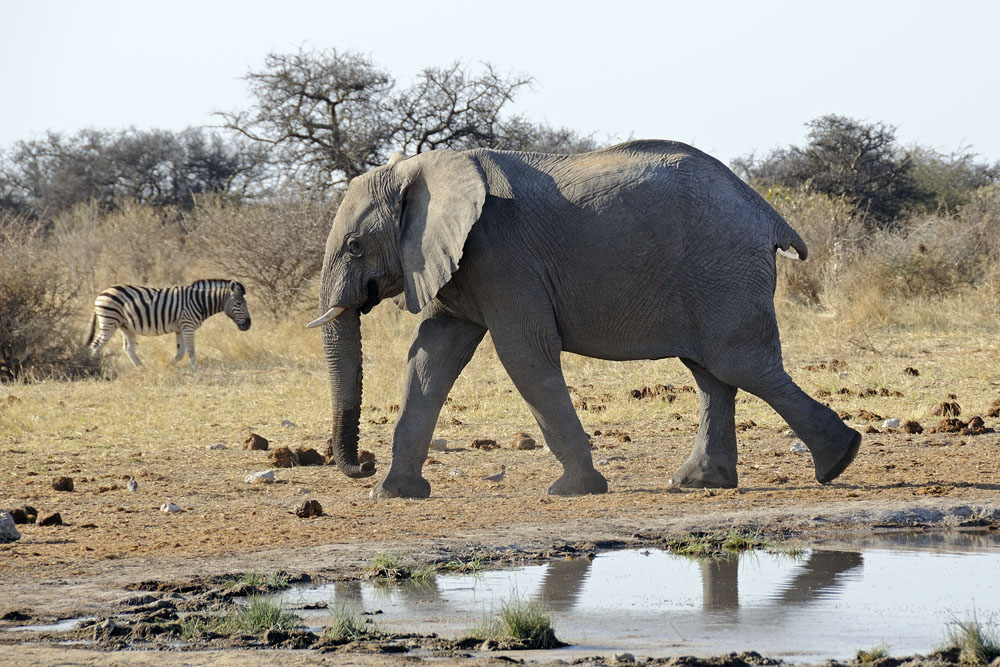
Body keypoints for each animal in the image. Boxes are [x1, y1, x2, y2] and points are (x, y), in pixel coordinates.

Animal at [307, 140, 861, 499]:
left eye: (354, 246)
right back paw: (699, 483)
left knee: (740, 365)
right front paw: (392, 493)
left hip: (723, 267)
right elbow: (431, 355)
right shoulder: (453, 261)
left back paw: (839, 461)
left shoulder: (501, 256)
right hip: (714, 275)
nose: (361, 465)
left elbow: (524, 354)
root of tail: (767, 212)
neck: (425, 168)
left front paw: (573, 490)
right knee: (712, 372)